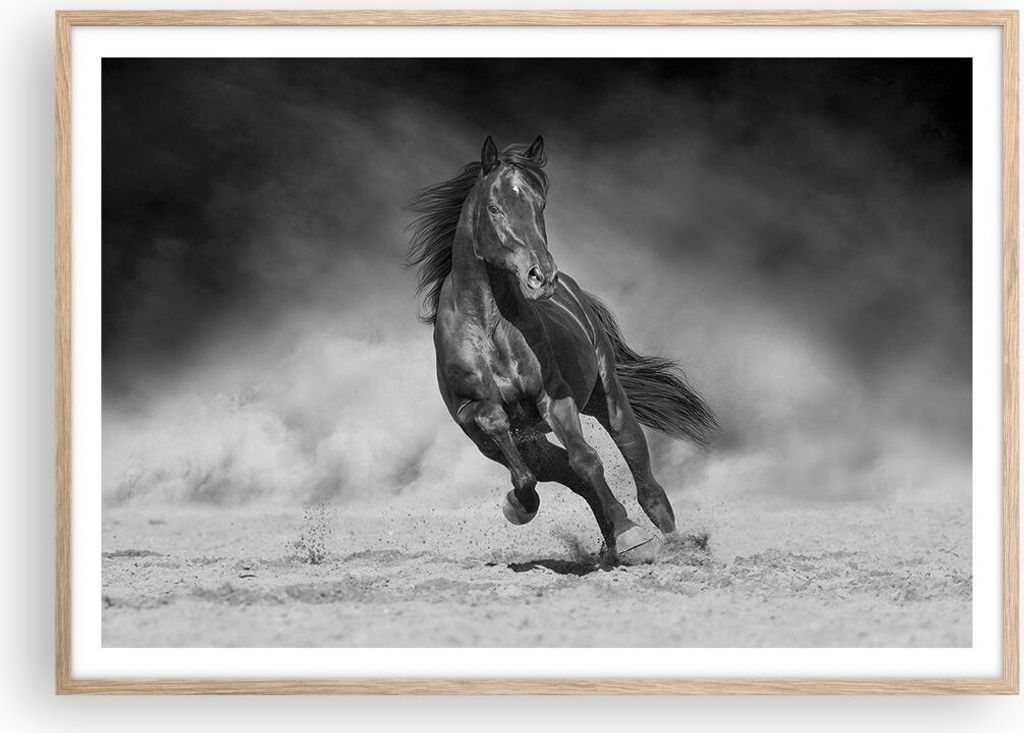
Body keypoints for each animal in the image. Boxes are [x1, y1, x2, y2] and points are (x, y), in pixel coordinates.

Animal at [407, 135, 717, 563]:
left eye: (540, 205)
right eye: (495, 207)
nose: (541, 276)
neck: (488, 327)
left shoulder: (554, 400)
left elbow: (587, 460)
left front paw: (633, 536)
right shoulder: (471, 417)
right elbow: (510, 444)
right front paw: (519, 505)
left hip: (607, 397)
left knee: (636, 464)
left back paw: (671, 543)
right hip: (518, 442)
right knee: (561, 473)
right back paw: (608, 542)